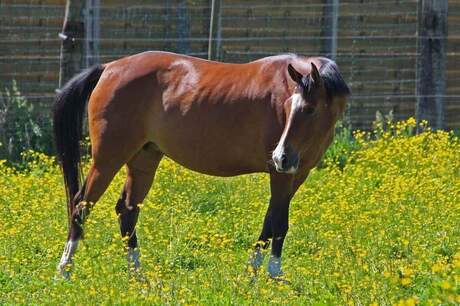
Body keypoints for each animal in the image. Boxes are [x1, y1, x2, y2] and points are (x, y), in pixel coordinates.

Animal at [53, 51, 348, 278]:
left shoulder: (297, 174)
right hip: (108, 159)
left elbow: (269, 222)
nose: (280, 156)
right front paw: (274, 275)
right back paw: (64, 271)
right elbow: (278, 222)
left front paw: (252, 275)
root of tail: (108, 68)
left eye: (308, 109)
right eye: (287, 107)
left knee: (127, 211)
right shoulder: (281, 175)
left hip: (143, 160)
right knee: (81, 206)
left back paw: (138, 276)